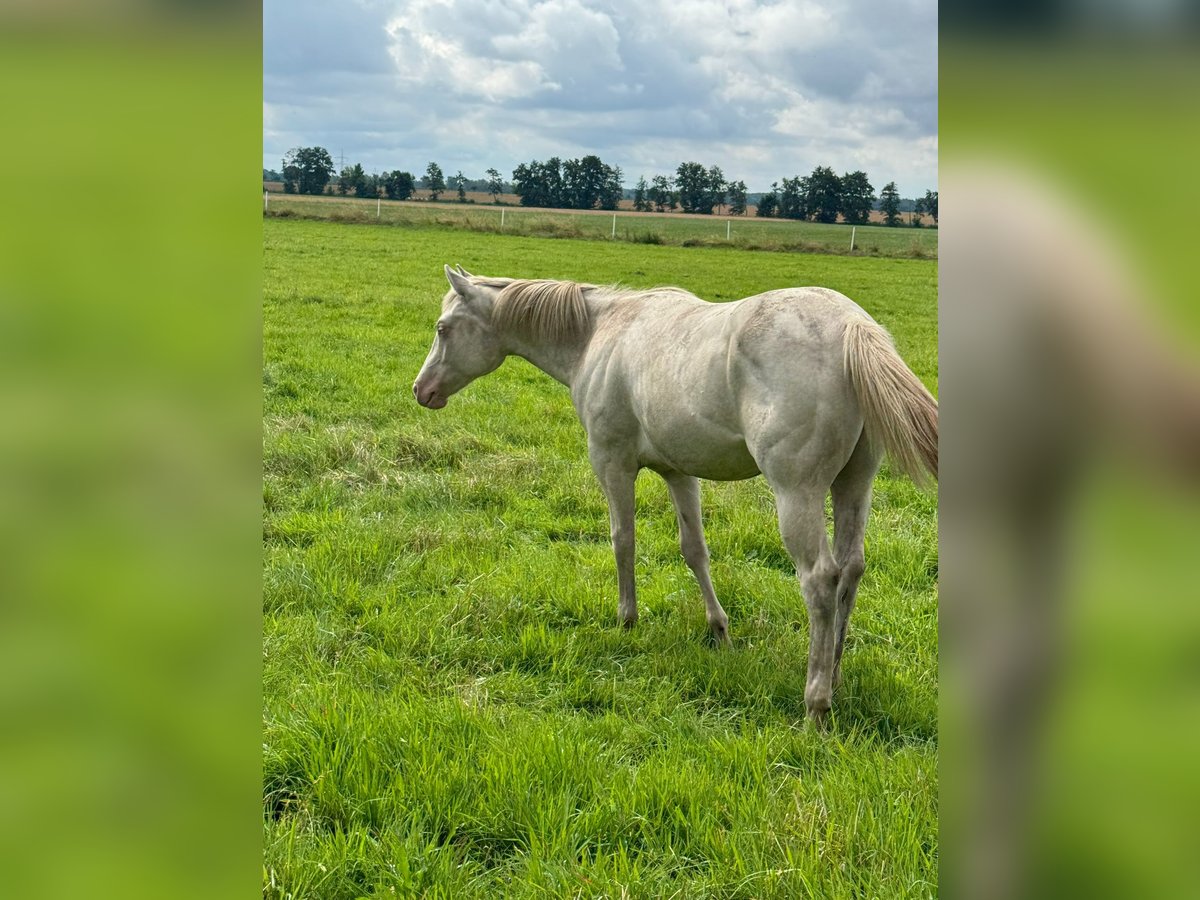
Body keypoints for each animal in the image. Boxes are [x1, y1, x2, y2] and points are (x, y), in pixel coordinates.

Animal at [412, 264, 936, 724]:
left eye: (442, 328)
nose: (421, 390)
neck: (598, 333)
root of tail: (850, 326)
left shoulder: (612, 464)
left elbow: (622, 540)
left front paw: (626, 621)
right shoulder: (679, 473)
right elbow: (694, 551)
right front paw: (719, 632)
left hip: (797, 494)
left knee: (820, 580)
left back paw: (816, 703)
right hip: (854, 484)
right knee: (851, 569)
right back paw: (835, 672)